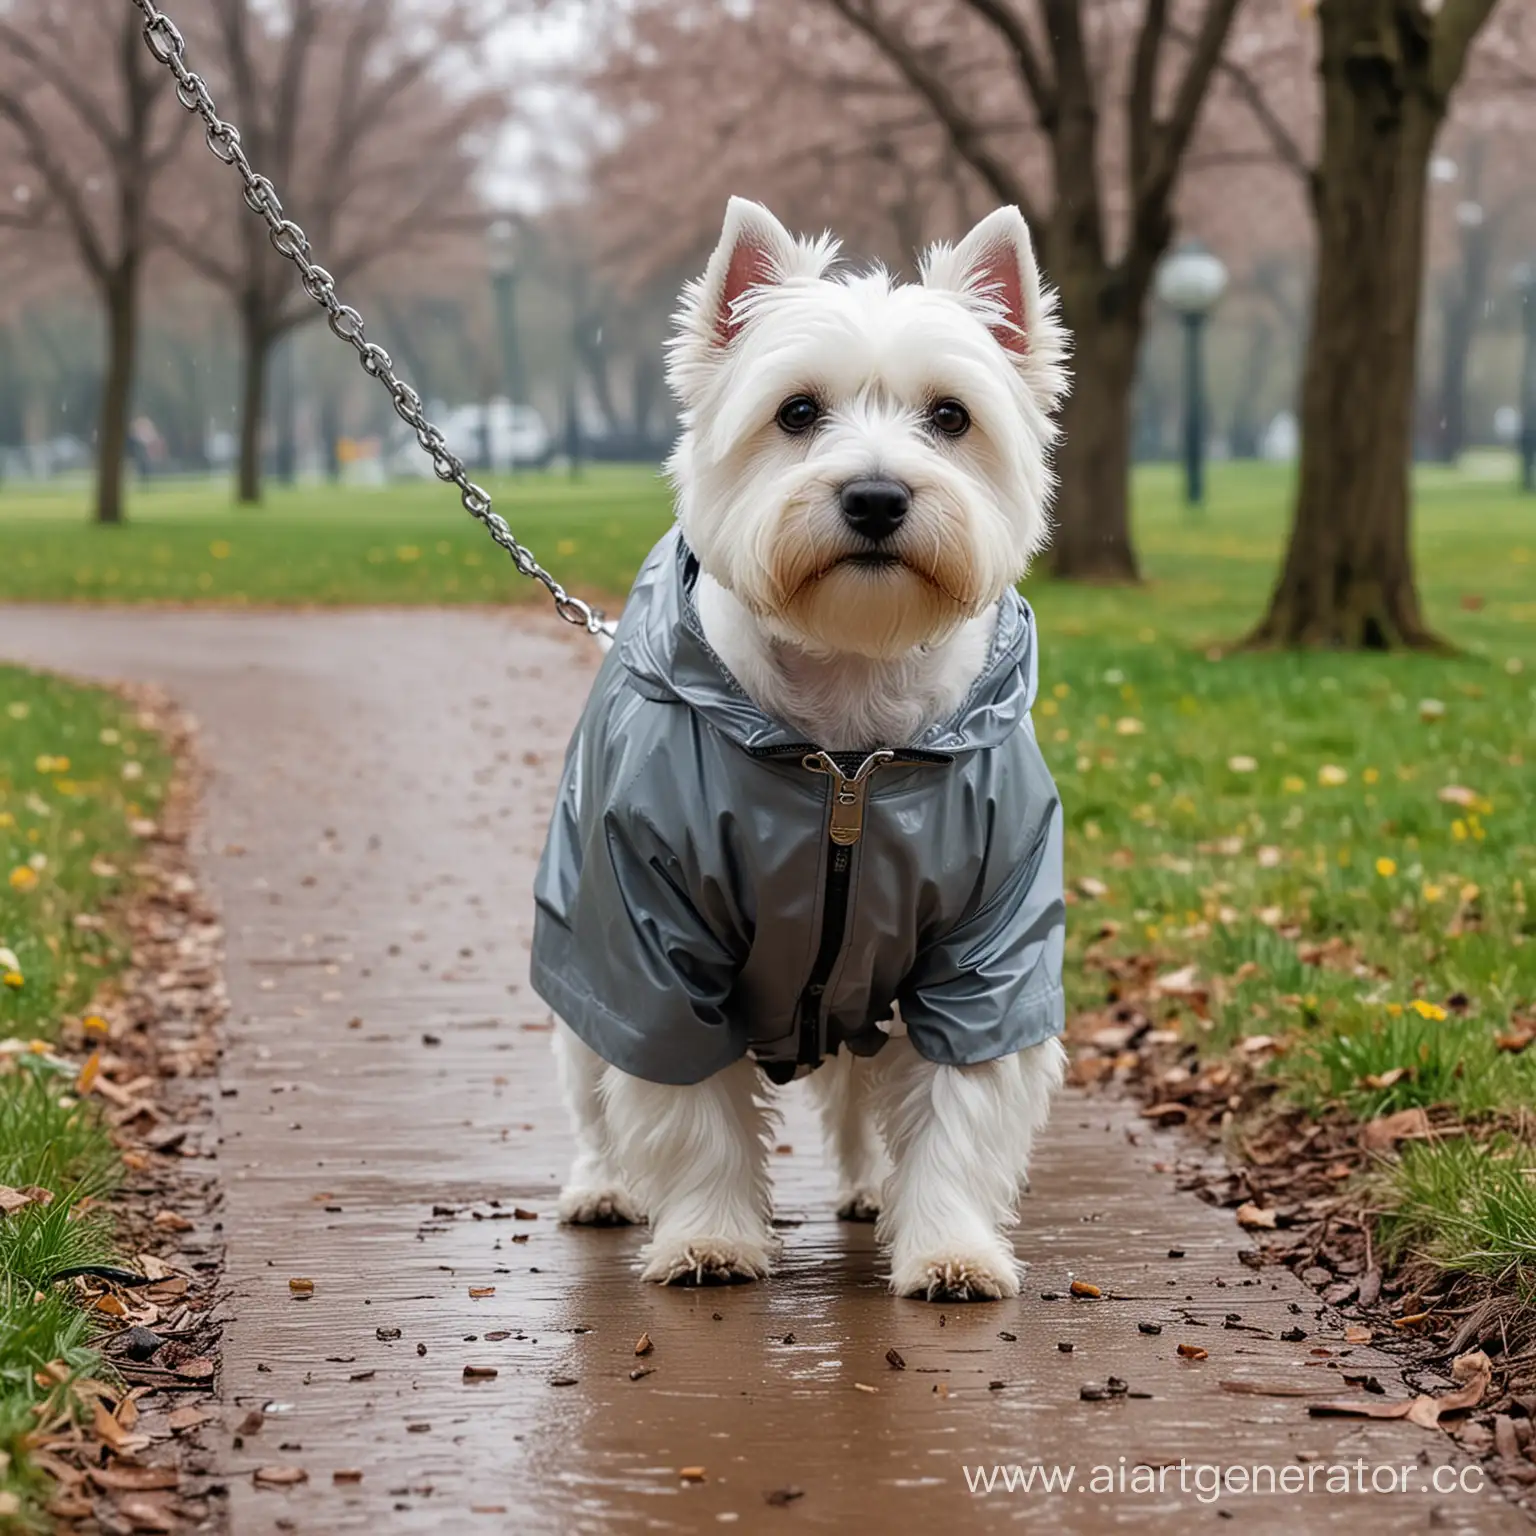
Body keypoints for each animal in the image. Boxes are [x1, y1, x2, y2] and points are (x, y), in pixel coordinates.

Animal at [534, 195, 1075, 1296]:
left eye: (951, 417)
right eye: (795, 413)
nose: (875, 497)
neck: (846, 761)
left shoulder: (987, 956)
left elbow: (958, 1115)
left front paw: (949, 1249)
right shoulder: (655, 949)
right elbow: (686, 1107)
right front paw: (708, 1237)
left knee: (862, 1101)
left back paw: (871, 1190)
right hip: (580, 938)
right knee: (592, 1081)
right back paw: (602, 1188)